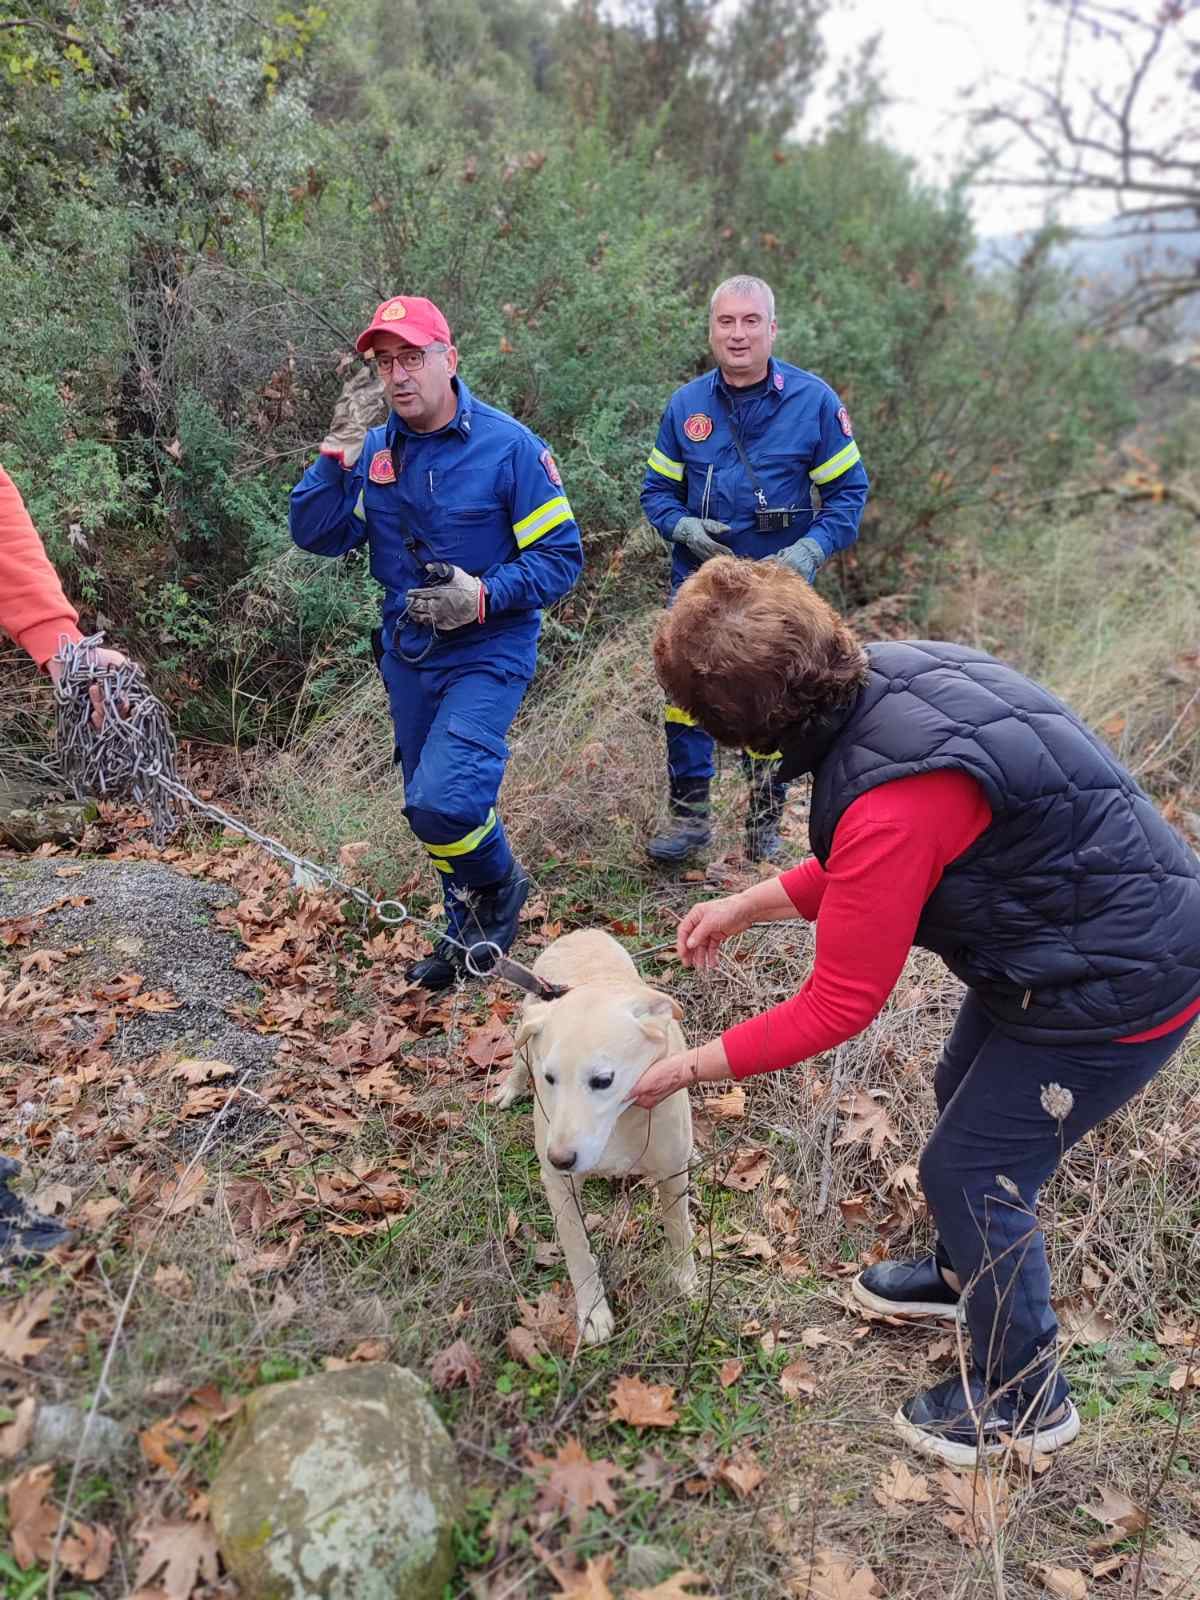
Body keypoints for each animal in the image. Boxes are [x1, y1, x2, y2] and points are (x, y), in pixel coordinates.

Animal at [492, 934, 700, 1344]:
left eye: (603, 1080)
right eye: (550, 1078)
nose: (559, 1158)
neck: (619, 1125)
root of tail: (581, 933)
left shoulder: (671, 1171)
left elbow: (678, 1227)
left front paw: (685, 1278)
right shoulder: (559, 1186)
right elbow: (577, 1251)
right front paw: (592, 1312)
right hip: (526, 1031)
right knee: (519, 1061)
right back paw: (510, 1088)